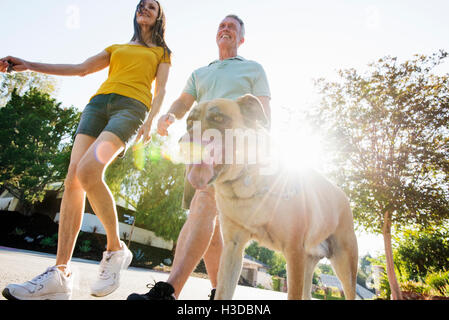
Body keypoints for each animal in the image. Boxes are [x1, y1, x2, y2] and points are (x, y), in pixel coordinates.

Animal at [179, 95, 356, 300]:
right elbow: (223, 292)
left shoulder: (294, 252)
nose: (182, 144)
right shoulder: (233, 248)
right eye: (189, 122)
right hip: (309, 262)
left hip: (344, 264)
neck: (245, 181)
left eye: (218, 118)